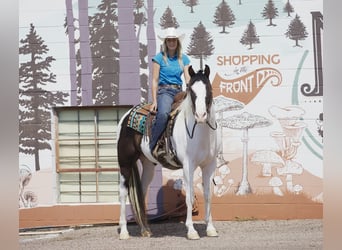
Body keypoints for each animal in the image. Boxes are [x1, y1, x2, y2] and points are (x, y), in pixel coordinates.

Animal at [117, 65, 219, 240]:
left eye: (209, 90)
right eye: (191, 92)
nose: (201, 116)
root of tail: (126, 116)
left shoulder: (209, 165)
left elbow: (208, 196)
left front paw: (211, 228)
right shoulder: (188, 165)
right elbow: (190, 197)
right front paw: (191, 231)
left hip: (148, 165)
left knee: (141, 192)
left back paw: (145, 229)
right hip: (125, 163)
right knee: (123, 193)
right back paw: (124, 231)